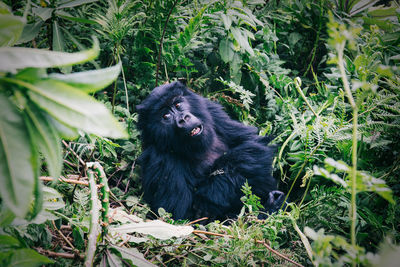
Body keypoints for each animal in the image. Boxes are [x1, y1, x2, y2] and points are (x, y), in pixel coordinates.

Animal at [137, 82, 284, 222]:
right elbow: (180, 216)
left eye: (178, 104)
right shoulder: (159, 158)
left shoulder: (211, 110)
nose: (183, 118)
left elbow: (252, 144)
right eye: (166, 116)